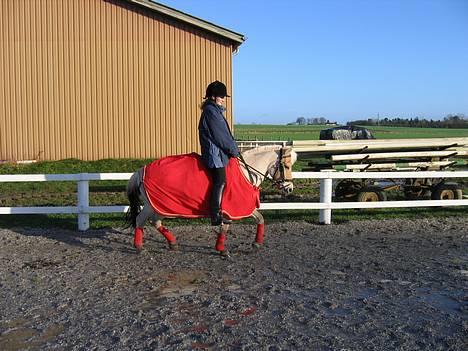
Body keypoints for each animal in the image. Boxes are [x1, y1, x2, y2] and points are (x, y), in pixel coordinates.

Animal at [126, 146, 298, 256]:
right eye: (286, 166)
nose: (289, 188)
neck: (245, 172)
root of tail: (141, 171)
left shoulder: (240, 208)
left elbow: (260, 218)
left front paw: (256, 243)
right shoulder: (232, 208)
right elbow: (225, 227)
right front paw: (222, 249)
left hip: (161, 206)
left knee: (156, 222)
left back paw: (173, 243)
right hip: (151, 206)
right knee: (140, 220)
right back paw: (139, 247)